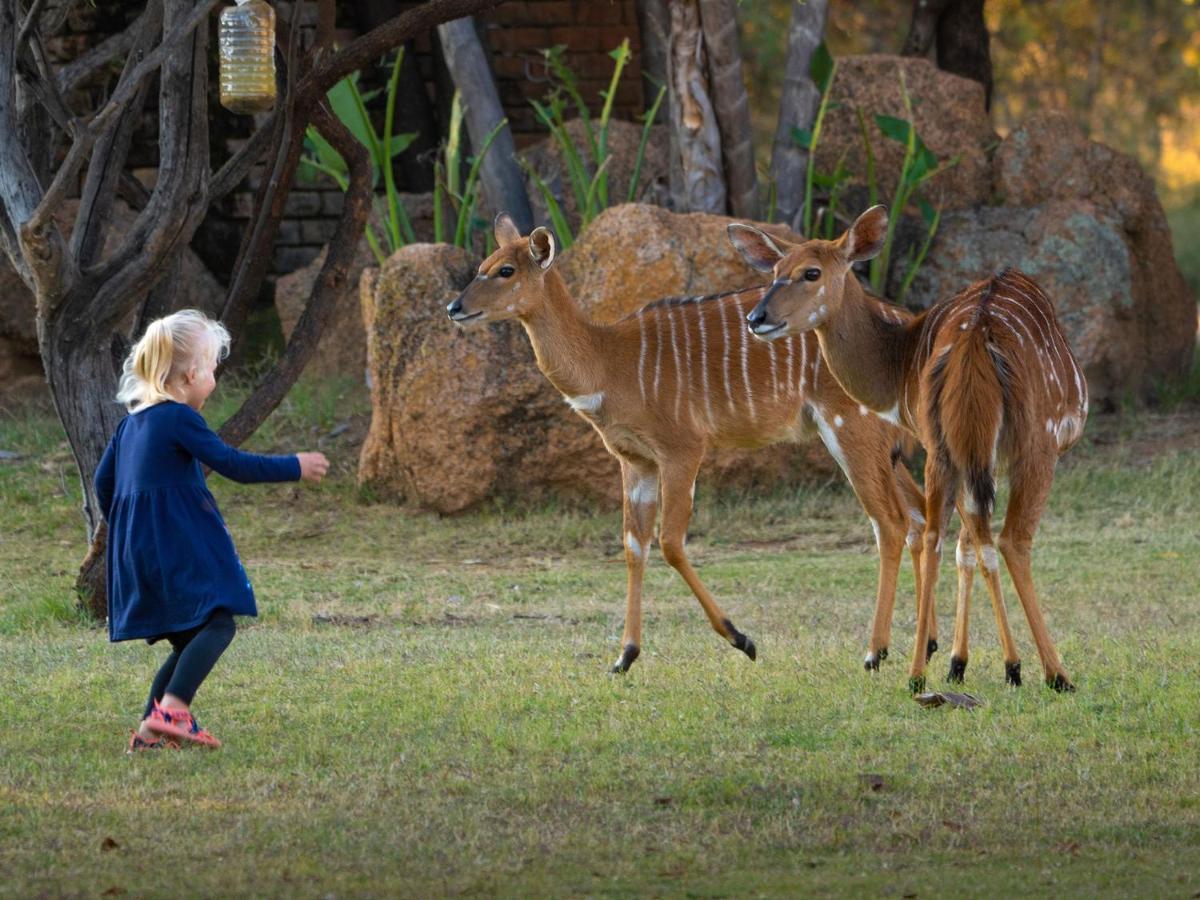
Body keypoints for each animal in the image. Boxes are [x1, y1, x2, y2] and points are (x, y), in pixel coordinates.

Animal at [446, 213, 931, 676]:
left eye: (506, 270)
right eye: (483, 265)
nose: (454, 307)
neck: (610, 362)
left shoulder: (682, 449)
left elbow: (671, 542)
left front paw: (742, 640)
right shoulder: (634, 460)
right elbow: (633, 544)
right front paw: (624, 657)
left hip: (851, 432)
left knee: (890, 522)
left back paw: (875, 653)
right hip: (885, 450)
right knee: (920, 517)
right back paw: (926, 647)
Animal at [734, 207, 1094, 696]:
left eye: (810, 272)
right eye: (774, 272)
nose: (757, 317)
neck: (899, 360)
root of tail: (977, 336)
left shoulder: (964, 453)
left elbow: (967, 545)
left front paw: (969, 663)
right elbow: (978, 543)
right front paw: (997, 665)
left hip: (949, 450)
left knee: (938, 535)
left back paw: (918, 674)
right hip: (1034, 445)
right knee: (1010, 539)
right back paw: (1055, 674)